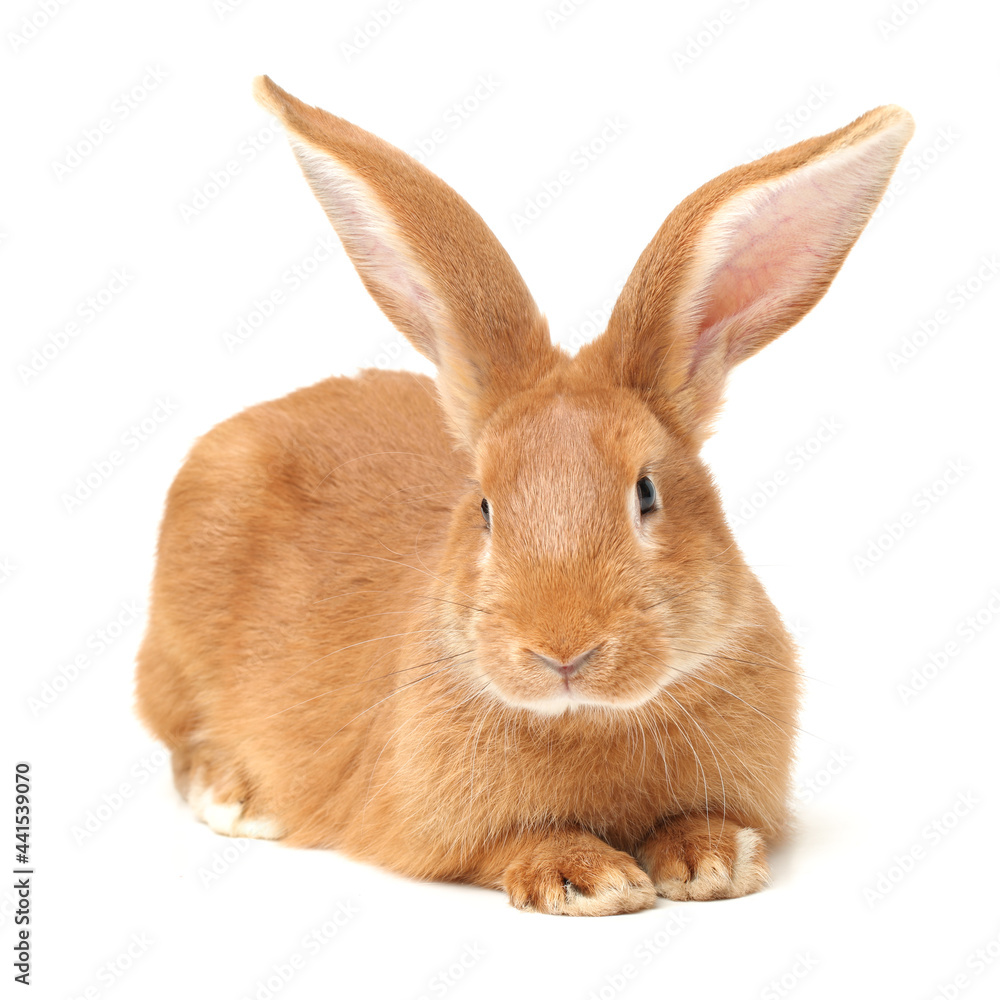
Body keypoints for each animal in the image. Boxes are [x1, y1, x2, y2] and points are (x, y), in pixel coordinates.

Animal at [135, 75, 913, 916]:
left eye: (646, 493)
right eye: (483, 506)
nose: (562, 651)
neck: (589, 719)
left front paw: (711, 861)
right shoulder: (427, 821)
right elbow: (508, 844)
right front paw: (590, 878)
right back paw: (238, 797)